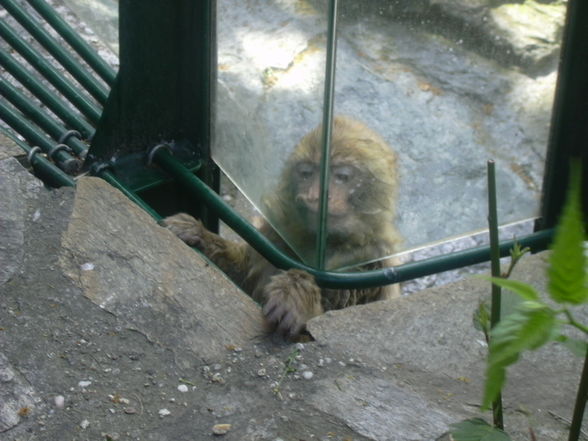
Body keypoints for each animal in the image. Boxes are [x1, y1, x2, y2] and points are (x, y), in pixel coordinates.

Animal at [163, 116, 400, 336]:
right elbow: (245, 280)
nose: (314, 196)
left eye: (342, 177)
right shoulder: (275, 233)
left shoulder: (370, 262)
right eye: (306, 174)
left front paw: (298, 297)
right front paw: (199, 234)